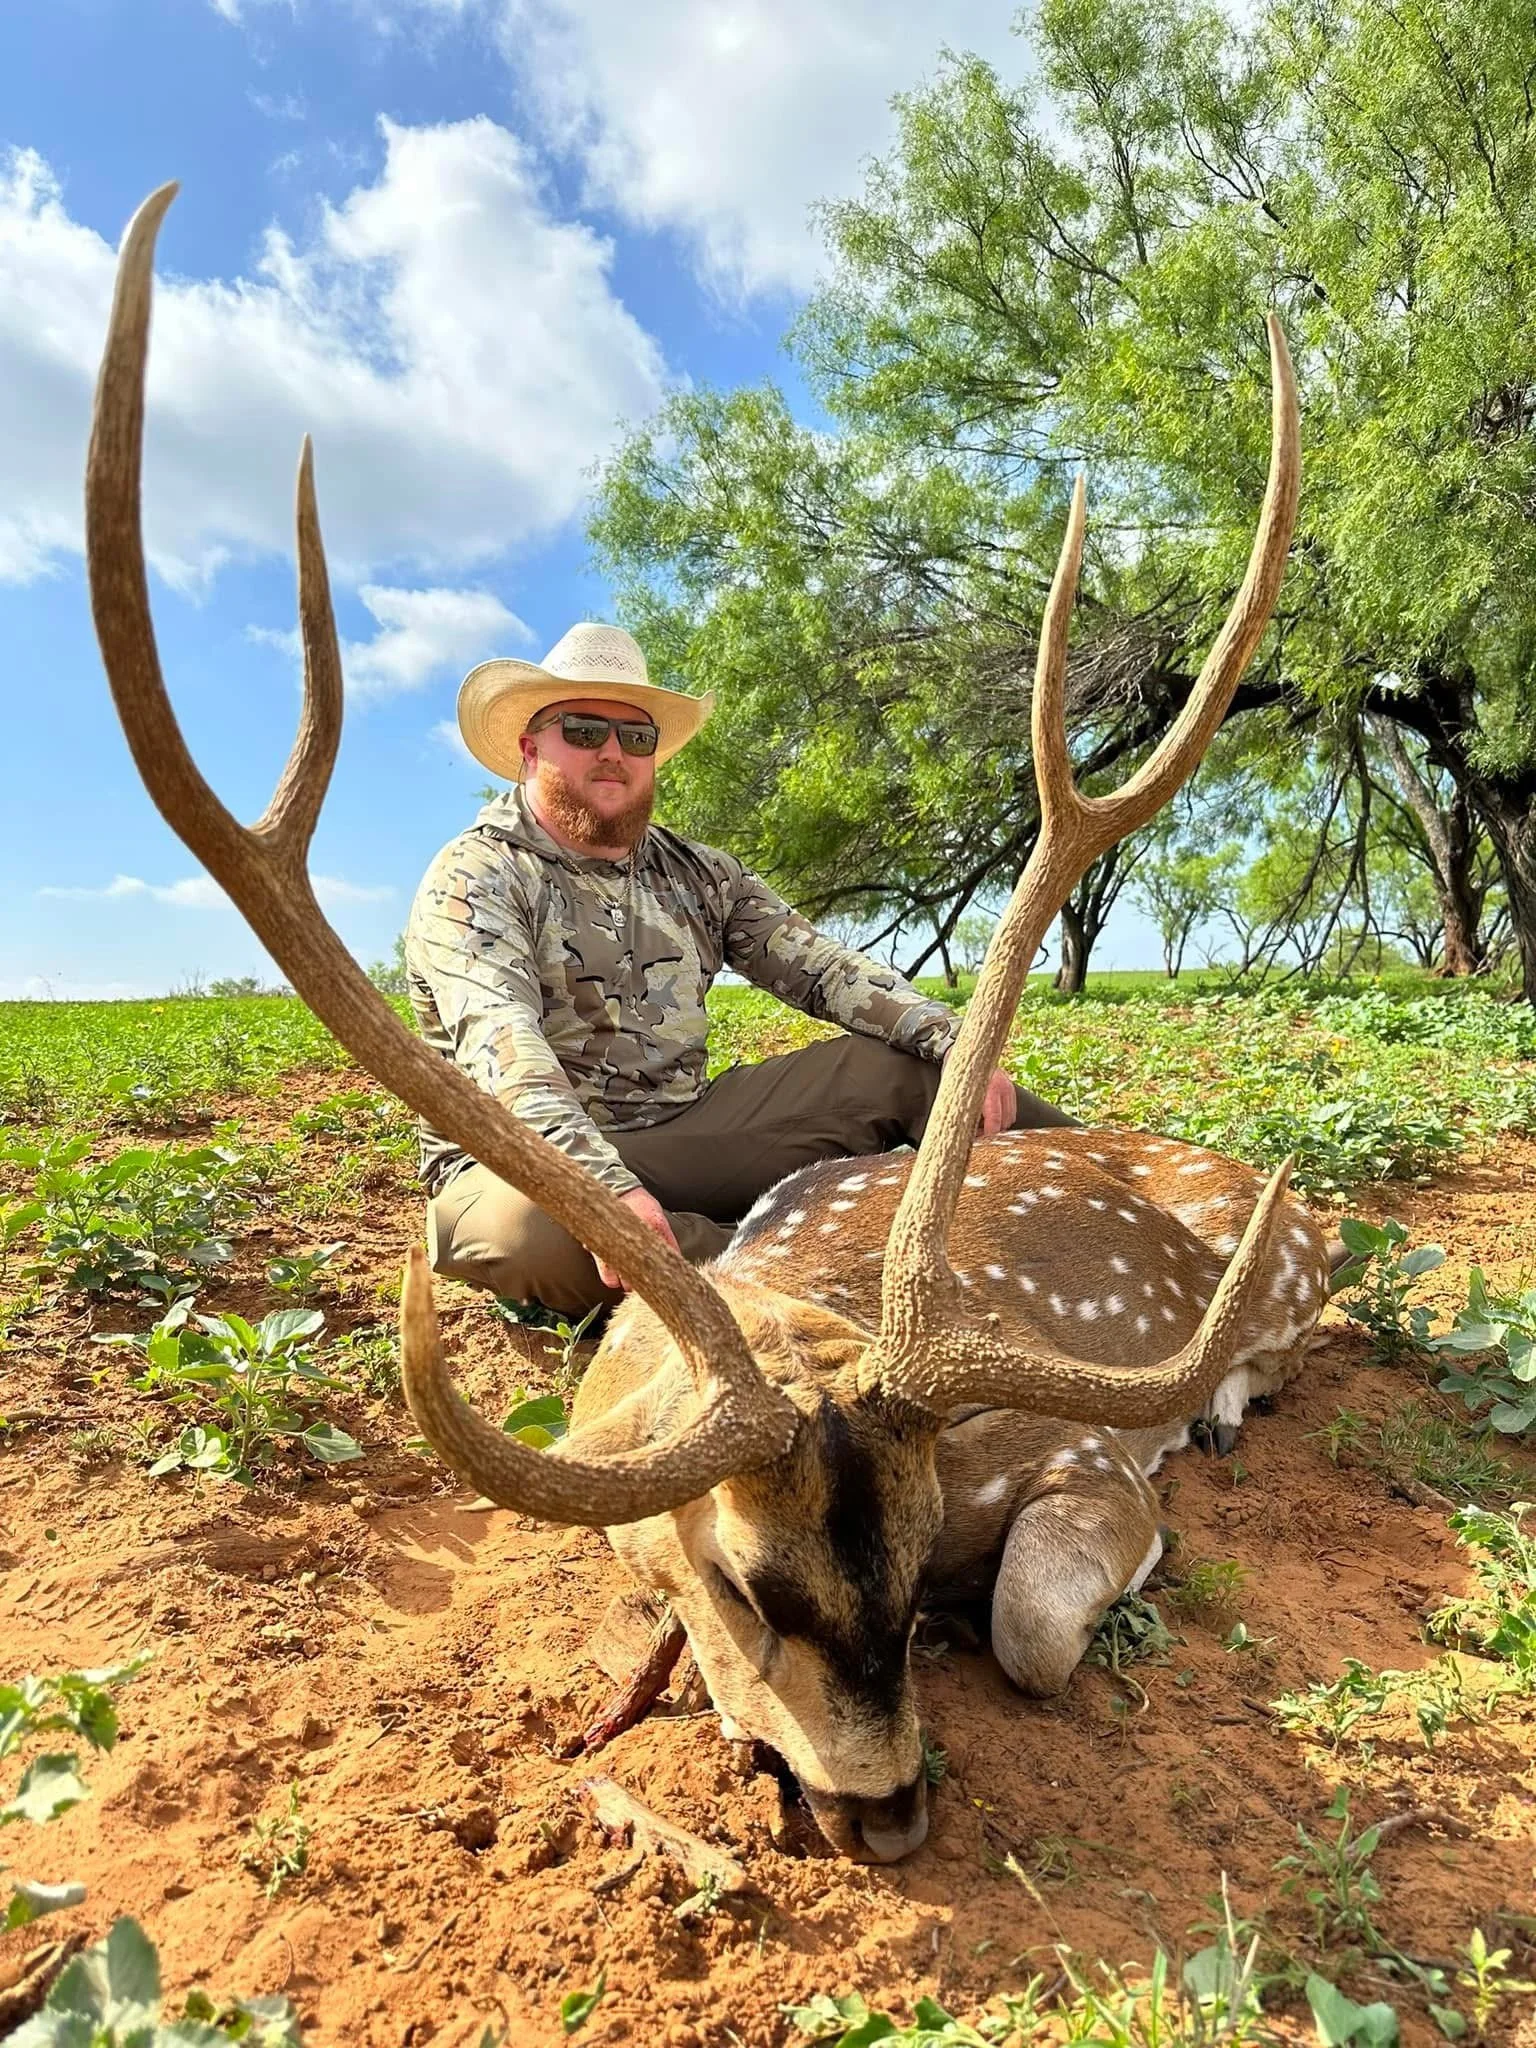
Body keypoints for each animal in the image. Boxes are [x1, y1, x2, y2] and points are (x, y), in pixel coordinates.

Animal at [87, 183, 1319, 1867]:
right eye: (740, 1581)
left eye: (920, 1556)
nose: (887, 1815)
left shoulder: (1068, 1451)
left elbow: (1031, 1629)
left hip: (1303, 1262)